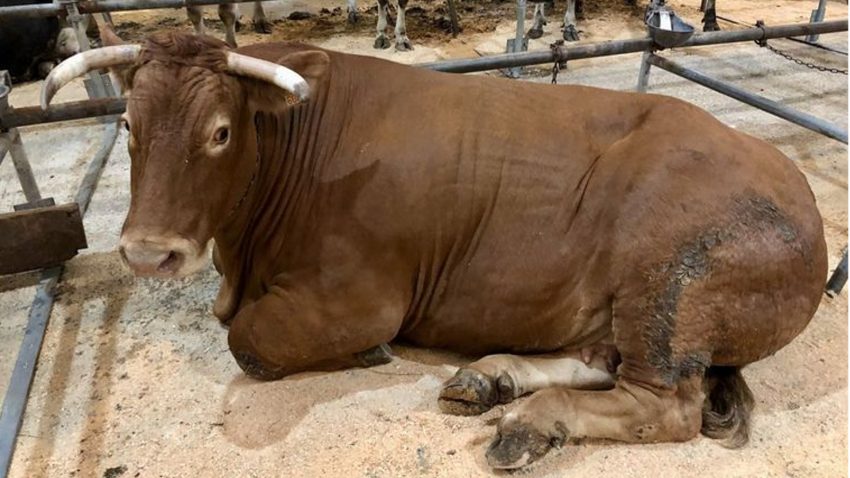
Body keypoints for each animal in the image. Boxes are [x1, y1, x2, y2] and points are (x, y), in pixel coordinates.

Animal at [41, 28, 827, 470]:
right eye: (129, 125)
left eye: (221, 132)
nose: (149, 254)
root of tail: (800, 194)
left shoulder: (364, 297)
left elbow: (249, 340)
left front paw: (363, 355)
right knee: (602, 362)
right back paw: (490, 379)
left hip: (667, 286)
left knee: (664, 405)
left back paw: (529, 423)